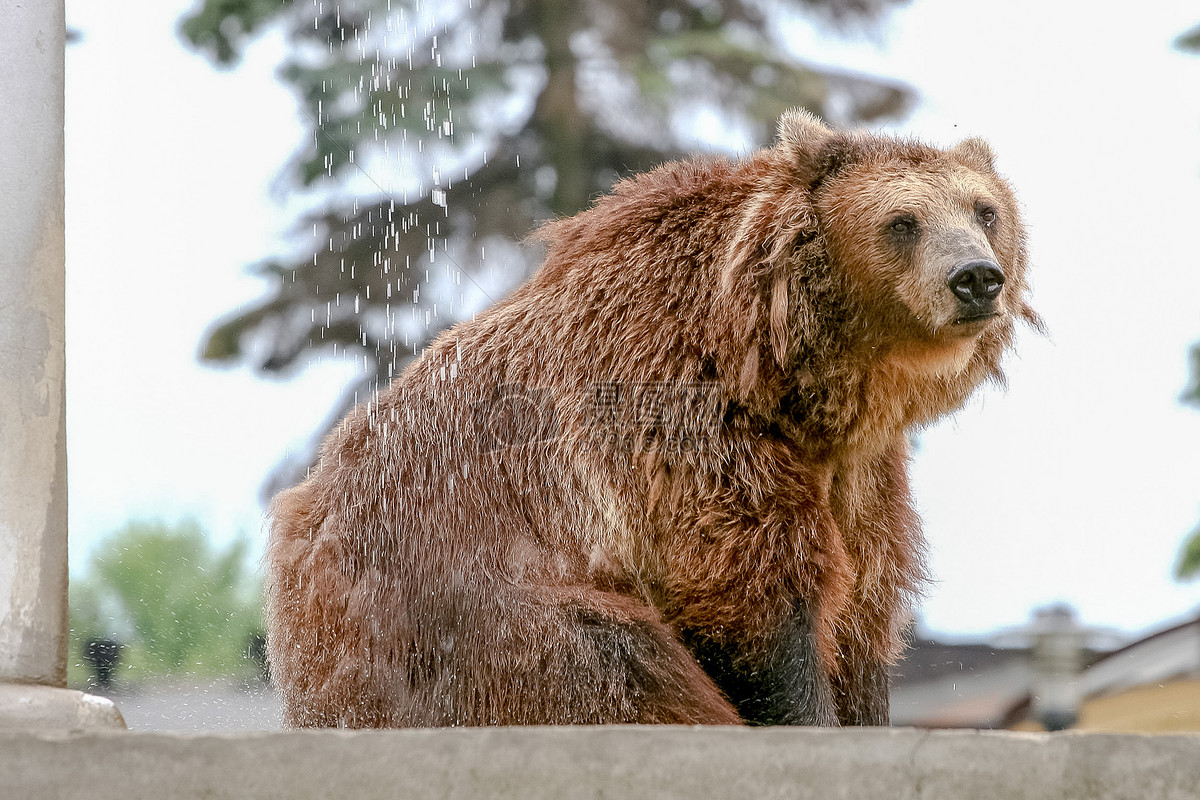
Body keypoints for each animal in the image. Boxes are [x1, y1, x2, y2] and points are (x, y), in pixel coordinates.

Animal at [267, 109, 1036, 729]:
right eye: (902, 222)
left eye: (983, 210)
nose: (975, 278)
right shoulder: (680, 428)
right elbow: (752, 594)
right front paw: (803, 709)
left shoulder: (860, 471)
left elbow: (864, 603)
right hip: (455, 601)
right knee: (616, 666)